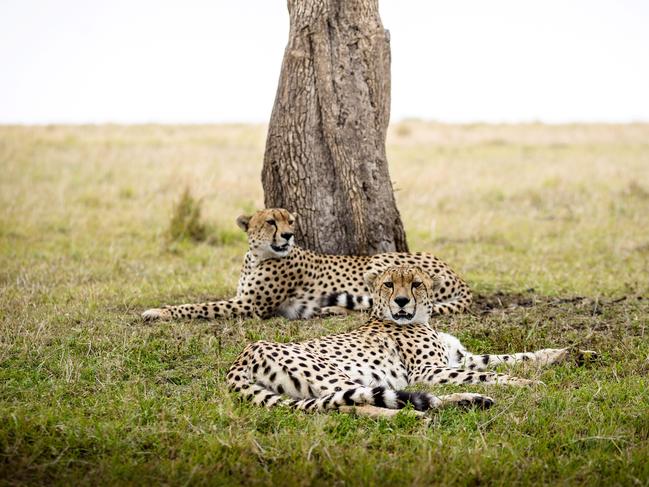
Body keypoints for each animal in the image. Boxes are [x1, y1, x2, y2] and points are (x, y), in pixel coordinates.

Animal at [143, 208, 470, 322]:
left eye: (290, 221)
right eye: (271, 221)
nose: (288, 235)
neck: (257, 256)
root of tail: (458, 275)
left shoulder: (250, 306)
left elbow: (197, 307)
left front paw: (158, 312)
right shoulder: (242, 298)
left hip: (379, 261)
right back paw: (329, 309)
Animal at [225, 264, 596, 418]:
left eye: (416, 283)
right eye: (389, 284)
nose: (402, 301)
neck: (422, 319)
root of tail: (242, 356)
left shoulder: (459, 358)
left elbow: (512, 357)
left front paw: (573, 354)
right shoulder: (428, 372)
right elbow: (491, 372)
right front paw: (529, 384)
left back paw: (470, 402)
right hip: (336, 376)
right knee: (355, 404)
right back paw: (422, 415)